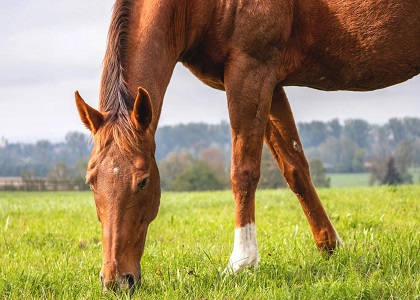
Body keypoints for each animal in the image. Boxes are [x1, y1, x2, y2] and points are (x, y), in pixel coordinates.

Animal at [74, 0, 418, 294]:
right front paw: (330, 247)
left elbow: (243, 171)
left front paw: (242, 261)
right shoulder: (272, 85)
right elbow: (295, 168)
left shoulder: (250, 73)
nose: (116, 280)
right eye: (90, 181)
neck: (202, 6)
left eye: (144, 181)